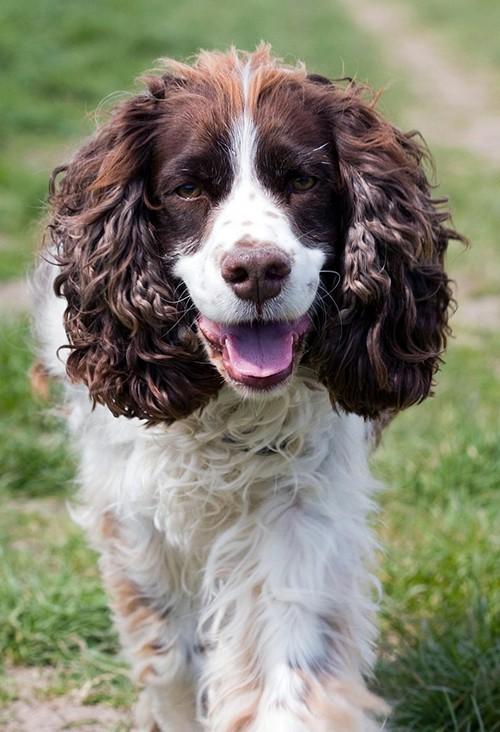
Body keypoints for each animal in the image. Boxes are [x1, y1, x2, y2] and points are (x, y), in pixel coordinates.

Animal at [33, 47, 462, 732]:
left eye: (304, 181)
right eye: (187, 189)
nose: (258, 269)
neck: (225, 409)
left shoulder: (297, 503)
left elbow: (289, 659)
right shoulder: (133, 511)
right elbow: (170, 654)